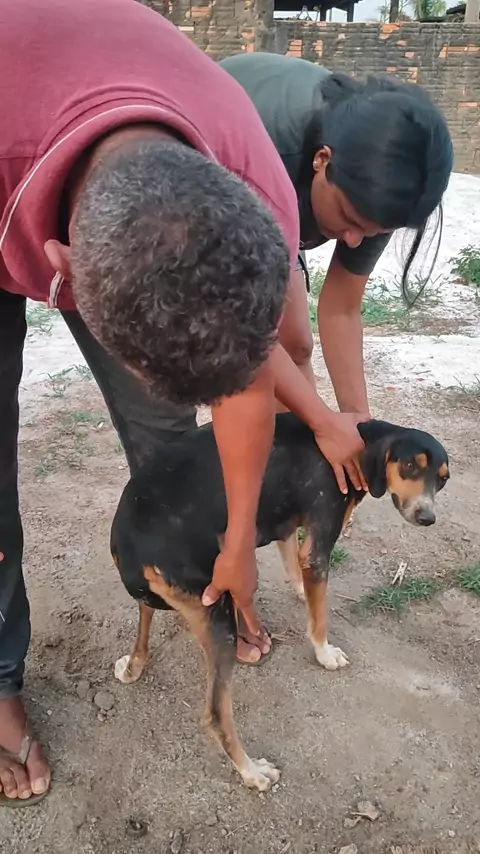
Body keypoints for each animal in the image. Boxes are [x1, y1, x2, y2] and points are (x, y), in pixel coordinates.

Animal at [111, 414, 449, 790]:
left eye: (443, 479)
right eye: (410, 465)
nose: (427, 517)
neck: (358, 443)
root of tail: (127, 544)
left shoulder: (287, 528)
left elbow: (296, 572)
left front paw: (301, 592)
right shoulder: (317, 548)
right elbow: (319, 617)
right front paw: (325, 653)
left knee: (144, 620)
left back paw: (132, 665)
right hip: (217, 615)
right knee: (216, 715)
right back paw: (253, 772)